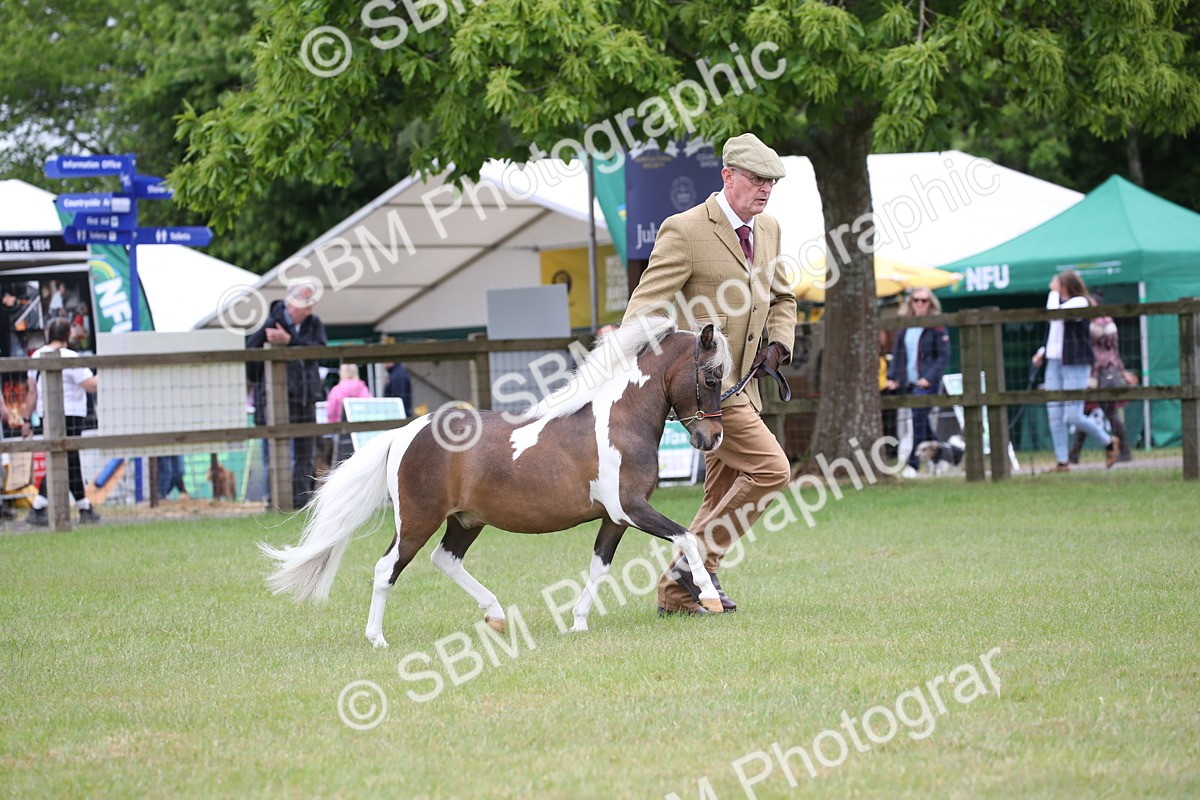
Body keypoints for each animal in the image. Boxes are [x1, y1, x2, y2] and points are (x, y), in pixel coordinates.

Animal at [258, 316, 733, 647]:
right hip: (417, 521)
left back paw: (497, 615)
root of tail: (404, 433)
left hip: (466, 520)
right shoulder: (631, 508)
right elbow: (688, 537)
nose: (712, 438)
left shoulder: (615, 518)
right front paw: (709, 599)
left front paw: (577, 622)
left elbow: (600, 566)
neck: (620, 420)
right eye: (711, 377)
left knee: (445, 560)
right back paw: (377, 638)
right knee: (386, 568)